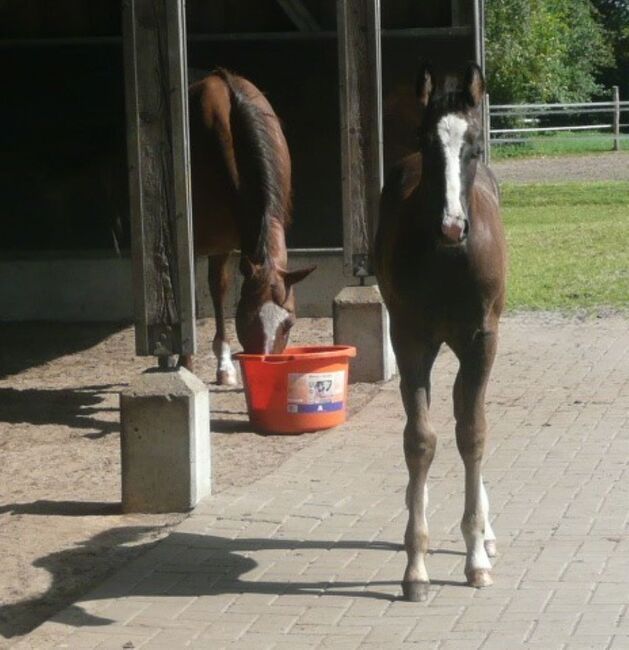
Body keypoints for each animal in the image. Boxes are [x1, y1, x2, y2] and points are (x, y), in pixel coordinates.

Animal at [186, 69, 314, 384]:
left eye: (288, 323)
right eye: (245, 317)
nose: (265, 362)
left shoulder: (225, 242)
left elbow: (219, 287)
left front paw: (223, 366)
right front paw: (185, 364)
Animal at [372, 60, 506, 596]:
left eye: (474, 147)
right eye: (429, 145)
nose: (452, 226)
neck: (450, 260)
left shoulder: (482, 340)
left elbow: (473, 433)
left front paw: (476, 557)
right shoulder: (410, 341)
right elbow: (421, 441)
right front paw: (416, 565)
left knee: (470, 414)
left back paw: (486, 533)